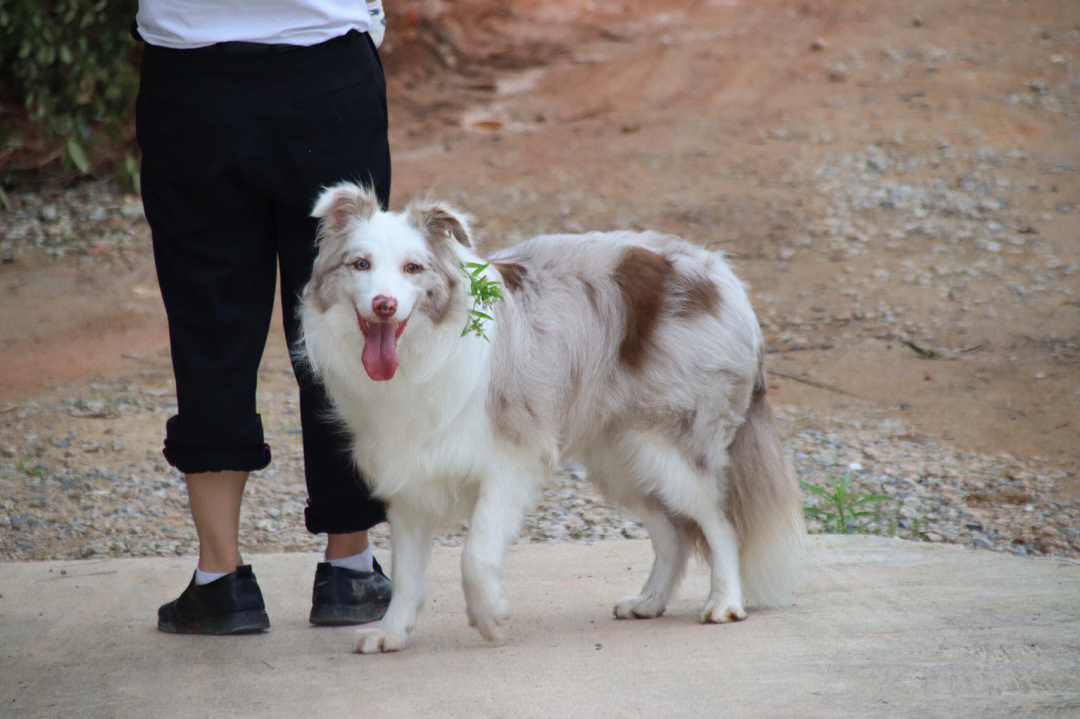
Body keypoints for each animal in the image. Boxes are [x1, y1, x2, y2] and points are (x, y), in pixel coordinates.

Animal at [295, 182, 803, 652]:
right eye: (360, 264)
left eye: (412, 268)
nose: (384, 305)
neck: (421, 355)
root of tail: (723, 273)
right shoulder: (409, 479)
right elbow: (406, 575)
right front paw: (391, 633)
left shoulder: (510, 462)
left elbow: (474, 556)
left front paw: (489, 618)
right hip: (624, 459)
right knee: (673, 535)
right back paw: (649, 602)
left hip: (673, 447)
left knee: (721, 524)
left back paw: (724, 603)